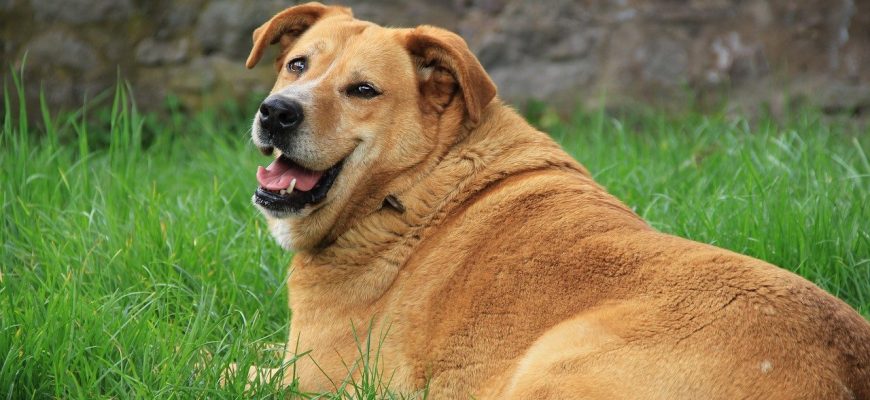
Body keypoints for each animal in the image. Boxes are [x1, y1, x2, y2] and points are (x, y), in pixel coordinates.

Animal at [242, 3, 870, 398]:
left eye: (363, 90)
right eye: (297, 64)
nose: (276, 112)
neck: (411, 188)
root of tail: (847, 371)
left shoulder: (313, 379)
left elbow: (226, 369)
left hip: (547, 366)